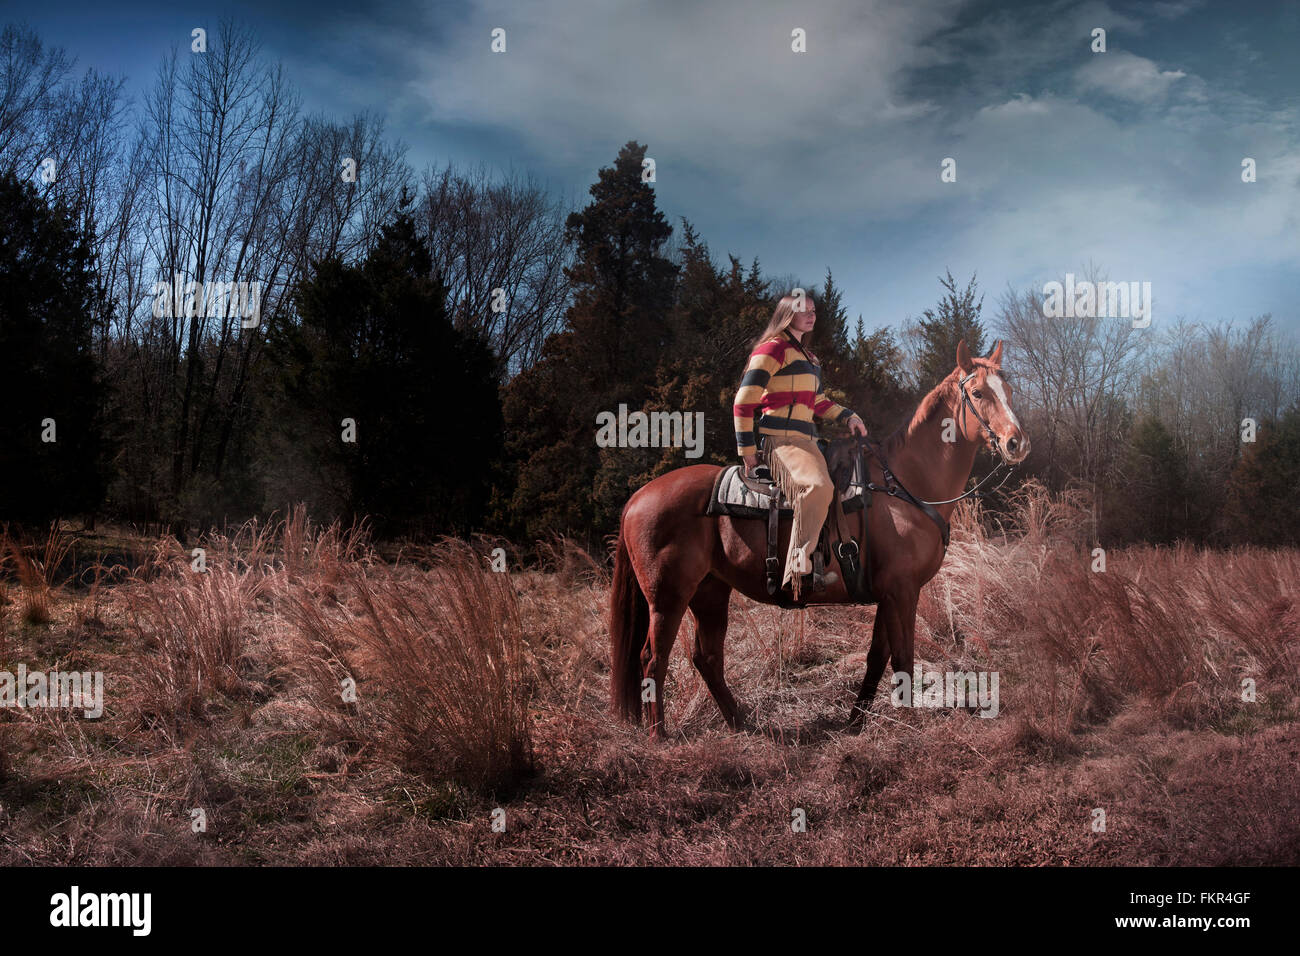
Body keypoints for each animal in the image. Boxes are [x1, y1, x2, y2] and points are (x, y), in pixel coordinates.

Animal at [605, 343, 1024, 738]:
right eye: (980, 393)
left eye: (1009, 390)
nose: (1017, 443)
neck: (903, 484)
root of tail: (638, 497)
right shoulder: (903, 591)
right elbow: (903, 658)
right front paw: (907, 725)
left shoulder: (887, 593)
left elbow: (877, 657)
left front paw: (855, 722)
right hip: (668, 597)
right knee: (652, 659)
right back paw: (660, 735)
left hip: (710, 592)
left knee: (706, 657)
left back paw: (740, 721)